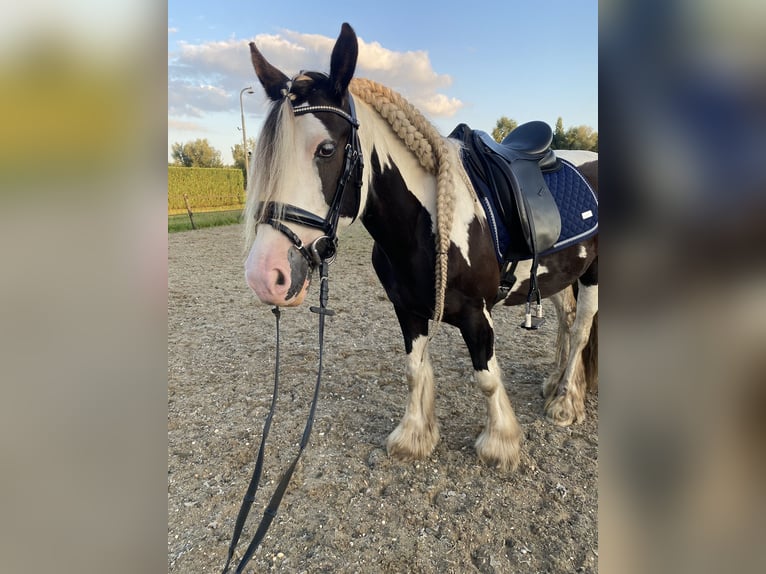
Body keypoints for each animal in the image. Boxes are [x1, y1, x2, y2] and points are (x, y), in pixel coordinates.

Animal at [243, 23, 598, 471]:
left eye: (326, 149)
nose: (264, 275)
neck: (423, 224)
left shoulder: (476, 315)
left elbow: (486, 377)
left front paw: (500, 443)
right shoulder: (407, 308)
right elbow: (414, 369)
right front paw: (414, 436)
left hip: (592, 274)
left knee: (582, 328)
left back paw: (566, 402)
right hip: (558, 276)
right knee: (567, 322)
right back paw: (555, 384)